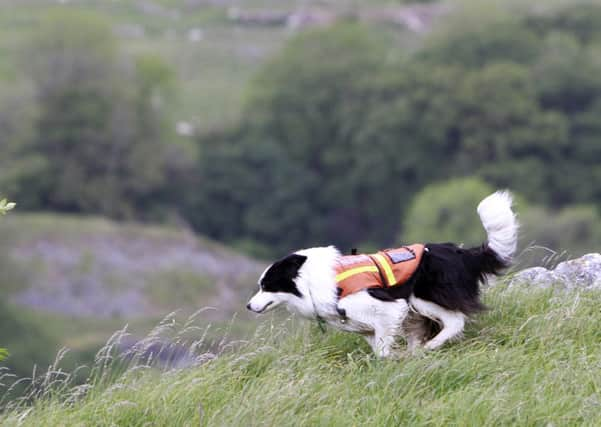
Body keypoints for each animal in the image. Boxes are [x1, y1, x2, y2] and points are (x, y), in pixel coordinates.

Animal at [246, 191, 516, 358]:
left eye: (266, 285)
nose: (248, 306)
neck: (311, 283)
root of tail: (461, 252)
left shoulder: (390, 307)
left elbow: (384, 352)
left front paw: (398, 359)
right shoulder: (365, 326)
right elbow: (378, 348)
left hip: (421, 297)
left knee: (455, 321)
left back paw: (430, 347)